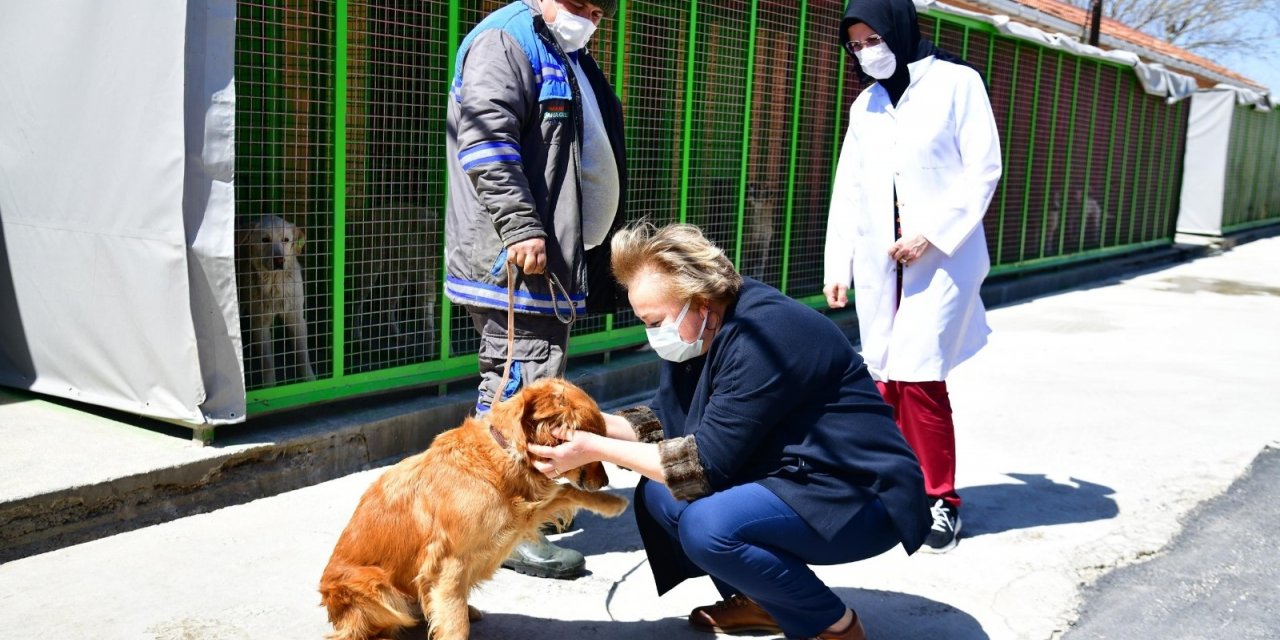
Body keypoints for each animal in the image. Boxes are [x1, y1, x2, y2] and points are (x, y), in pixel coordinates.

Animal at [236, 213, 316, 384]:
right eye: (265, 239)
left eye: (286, 240)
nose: (279, 260)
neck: (275, 283)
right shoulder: (260, 324)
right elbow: (267, 362)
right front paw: (270, 386)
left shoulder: (296, 319)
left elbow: (302, 357)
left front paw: (311, 381)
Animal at [320, 376, 629, 637]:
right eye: (592, 444)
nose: (606, 481)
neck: (504, 454)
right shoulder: (448, 563)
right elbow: (456, 625)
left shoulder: (523, 514)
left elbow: (565, 491)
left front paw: (612, 502)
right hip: (376, 587)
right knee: (365, 630)